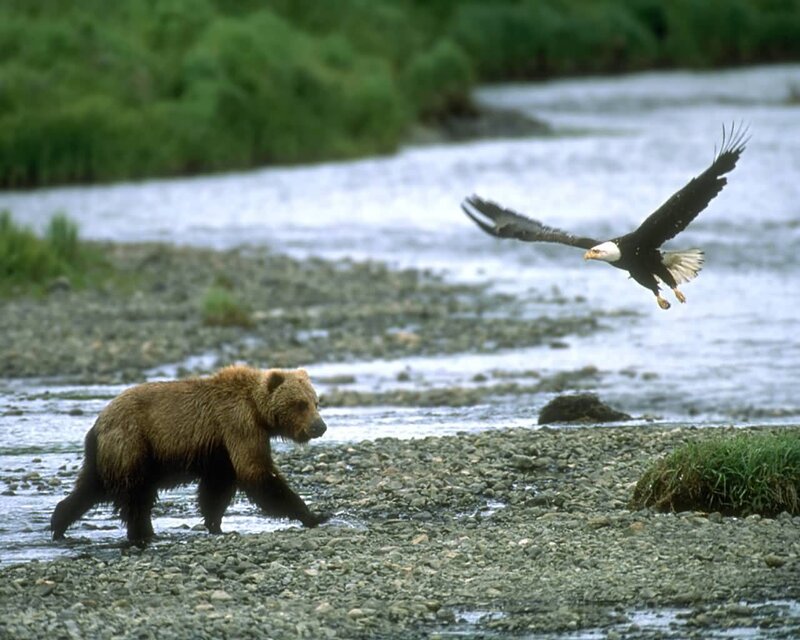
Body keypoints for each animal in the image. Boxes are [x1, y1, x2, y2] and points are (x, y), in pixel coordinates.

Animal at [51, 365, 329, 544]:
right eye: (300, 404)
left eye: (316, 402)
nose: (320, 426)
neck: (258, 411)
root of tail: (98, 422)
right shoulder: (239, 425)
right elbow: (257, 473)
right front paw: (314, 515)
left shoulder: (221, 449)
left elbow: (217, 487)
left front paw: (215, 524)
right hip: (133, 442)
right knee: (135, 494)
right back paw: (142, 533)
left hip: (107, 454)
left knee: (90, 488)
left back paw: (59, 523)